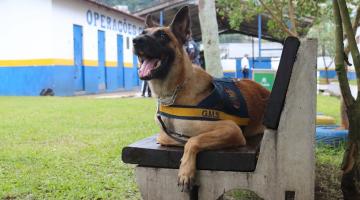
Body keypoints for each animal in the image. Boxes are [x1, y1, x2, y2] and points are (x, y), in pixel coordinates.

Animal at [133, 5, 270, 191]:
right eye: (143, 32)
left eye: (162, 36)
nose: (136, 40)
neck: (175, 91)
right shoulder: (164, 133)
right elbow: (167, 136)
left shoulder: (231, 129)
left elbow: (192, 140)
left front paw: (186, 170)